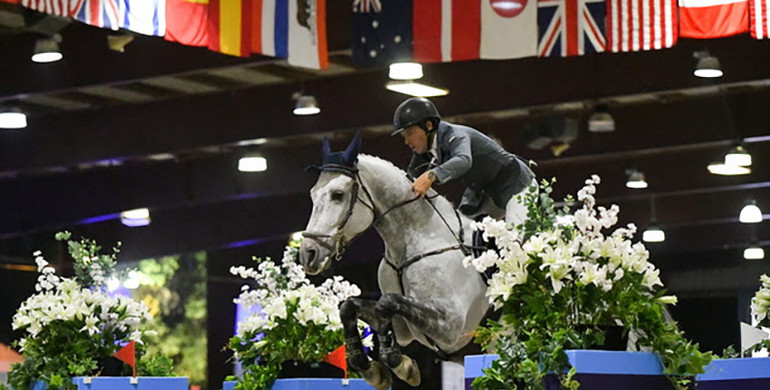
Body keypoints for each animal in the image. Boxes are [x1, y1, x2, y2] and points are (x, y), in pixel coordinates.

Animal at [298, 133, 486, 388]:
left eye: (338, 195)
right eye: (313, 194)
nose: (308, 254)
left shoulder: (451, 328)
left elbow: (387, 302)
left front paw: (399, 363)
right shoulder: (407, 329)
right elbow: (352, 306)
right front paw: (372, 369)